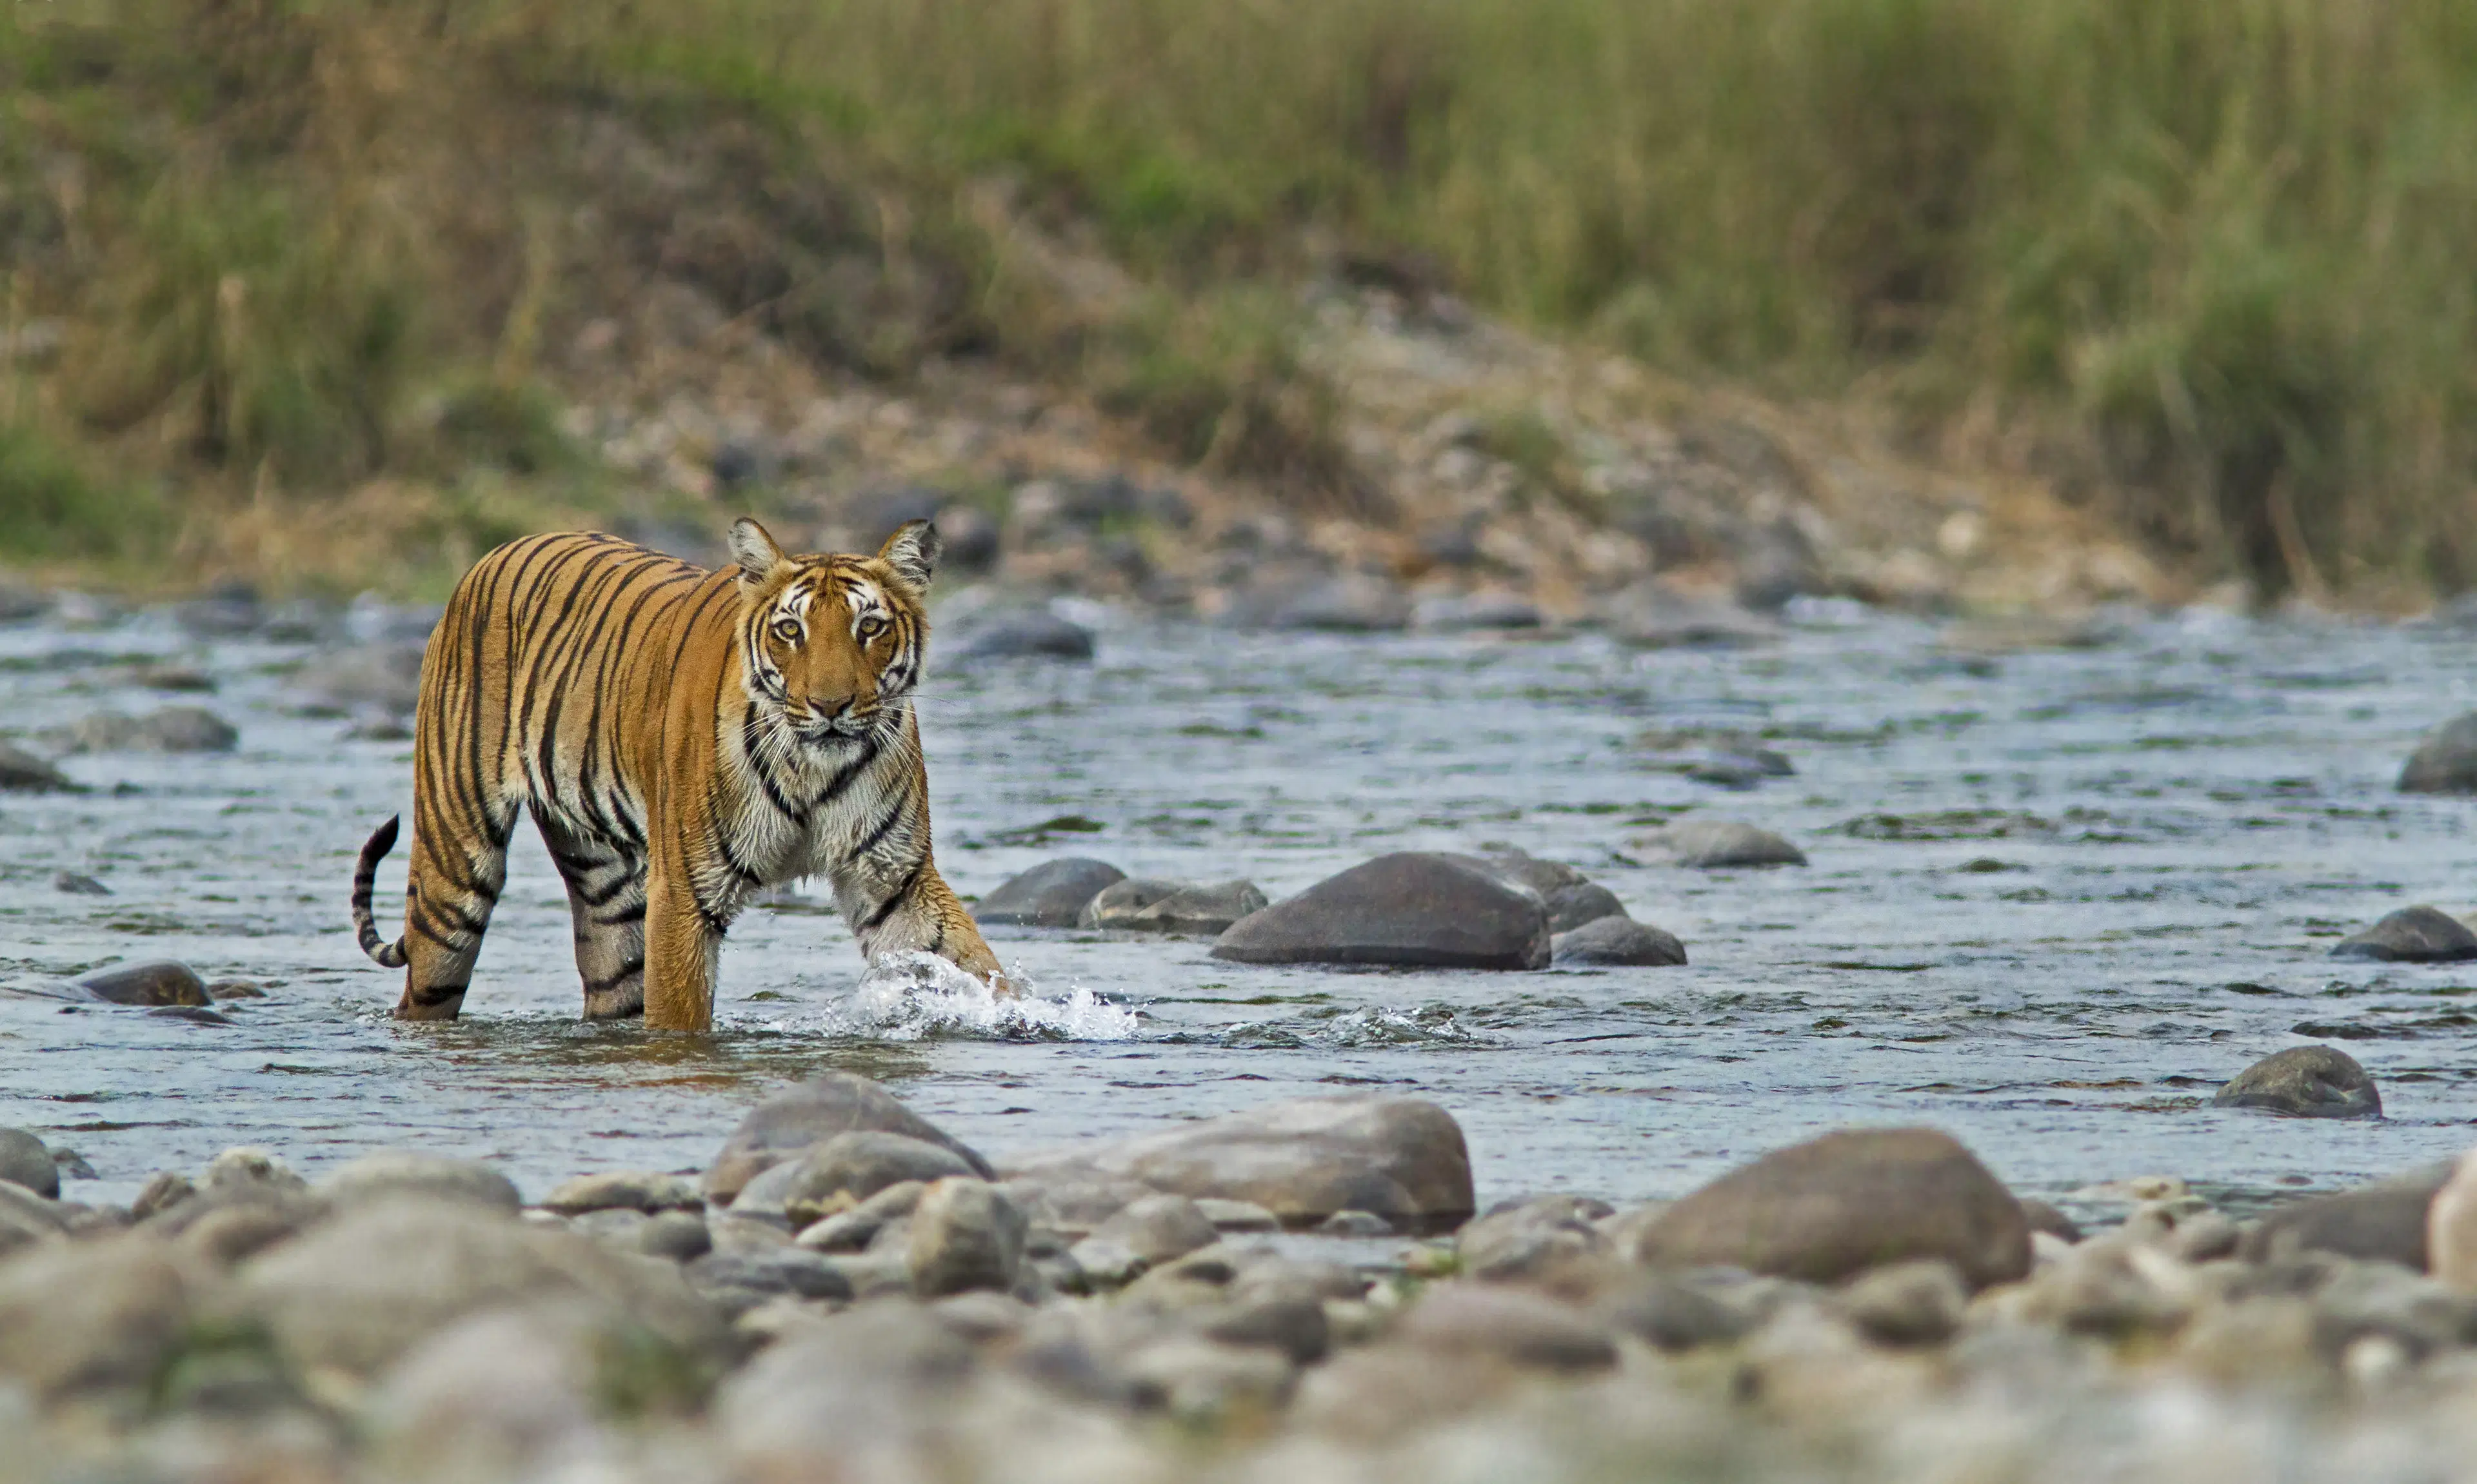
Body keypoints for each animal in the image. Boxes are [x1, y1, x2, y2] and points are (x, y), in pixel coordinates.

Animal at [348, 516, 1006, 1031]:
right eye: (790, 630)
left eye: (869, 626)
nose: (830, 706)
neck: (812, 770)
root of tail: (492, 555)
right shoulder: (685, 893)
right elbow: (679, 1020)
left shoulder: (893, 877)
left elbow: (975, 964)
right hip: (455, 870)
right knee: (426, 983)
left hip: (608, 897)